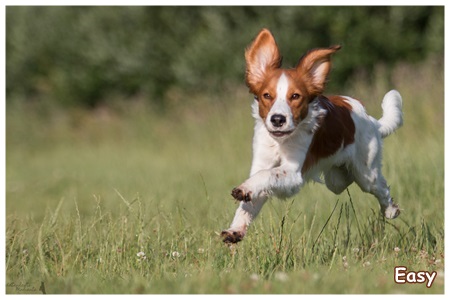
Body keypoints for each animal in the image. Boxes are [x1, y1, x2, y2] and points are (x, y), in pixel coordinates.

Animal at [221, 28, 404, 244]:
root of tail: (372, 121)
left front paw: (244, 189)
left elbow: (267, 175)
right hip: (336, 180)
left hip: (367, 174)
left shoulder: (293, 173)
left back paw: (391, 210)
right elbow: (251, 199)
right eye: (267, 95)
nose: (277, 119)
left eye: (295, 96)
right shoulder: (261, 162)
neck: (281, 141)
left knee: (381, 187)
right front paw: (235, 229)